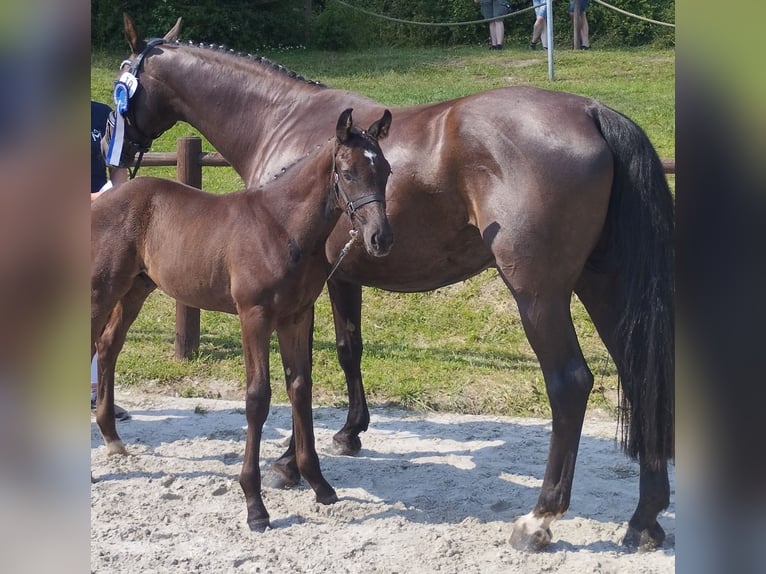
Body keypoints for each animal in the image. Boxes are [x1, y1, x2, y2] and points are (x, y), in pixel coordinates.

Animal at [93, 108, 396, 532]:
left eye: (385, 170)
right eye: (349, 173)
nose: (380, 238)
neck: (282, 227)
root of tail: (104, 196)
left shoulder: (295, 316)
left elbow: (300, 388)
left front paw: (318, 484)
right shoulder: (254, 316)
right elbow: (258, 398)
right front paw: (255, 505)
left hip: (137, 288)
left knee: (108, 346)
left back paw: (112, 438)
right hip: (101, 288)